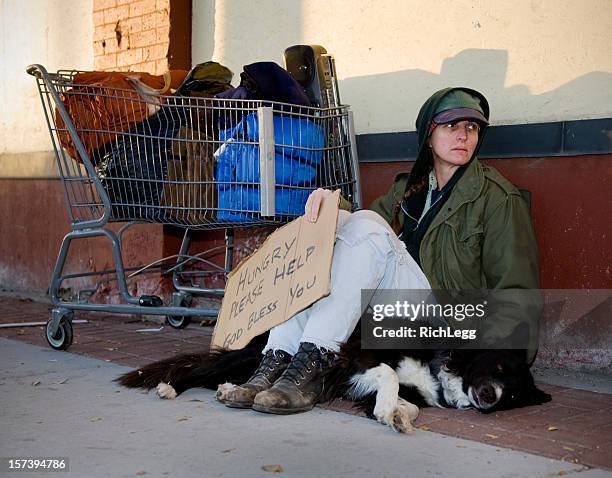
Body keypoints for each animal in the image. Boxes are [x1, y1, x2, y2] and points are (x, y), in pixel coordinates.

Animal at [117, 324, 552, 434]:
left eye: (513, 396)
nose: (490, 396)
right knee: (197, 369)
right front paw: (388, 408)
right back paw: (170, 386)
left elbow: (407, 402)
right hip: (252, 355)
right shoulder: (356, 358)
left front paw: (396, 415)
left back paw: (231, 390)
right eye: (498, 368)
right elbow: (389, 376)